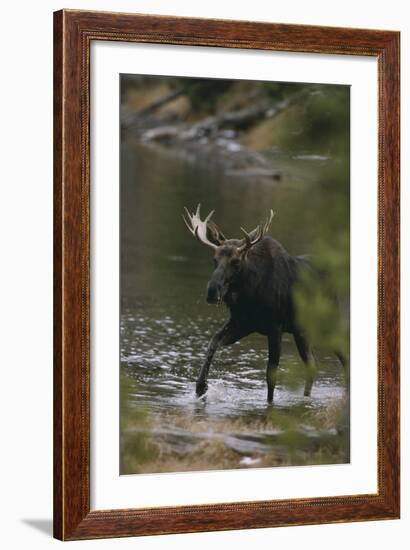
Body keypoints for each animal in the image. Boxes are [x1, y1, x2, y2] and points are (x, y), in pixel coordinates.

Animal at [184, 205, 344, 404]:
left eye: (236, 262)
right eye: (214, 259)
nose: (212, 291)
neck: (249, 295)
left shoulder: (275, 327)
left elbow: (270, 374)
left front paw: (269, 403)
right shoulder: (241, 323)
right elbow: (212, 342)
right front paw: (201, 387)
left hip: (329, 323)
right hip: (302, 331)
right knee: (312, 364)